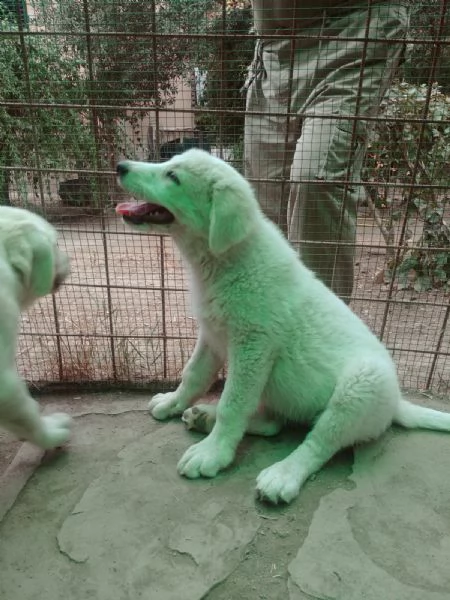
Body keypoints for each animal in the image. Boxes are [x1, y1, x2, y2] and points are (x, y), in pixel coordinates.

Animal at [115, 148, 450, 504]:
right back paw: (204, 416)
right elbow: (193, 375)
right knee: (275, 424)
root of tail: (397, 403)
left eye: (173, 177)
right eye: (168, 163)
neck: (223, 260)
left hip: (360, 389)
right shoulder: (212, 335)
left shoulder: (253, 346)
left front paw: (212, 453)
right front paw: (173, 403)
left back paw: (281, 475)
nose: (120, 166)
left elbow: (233, 403)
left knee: (319, 442)